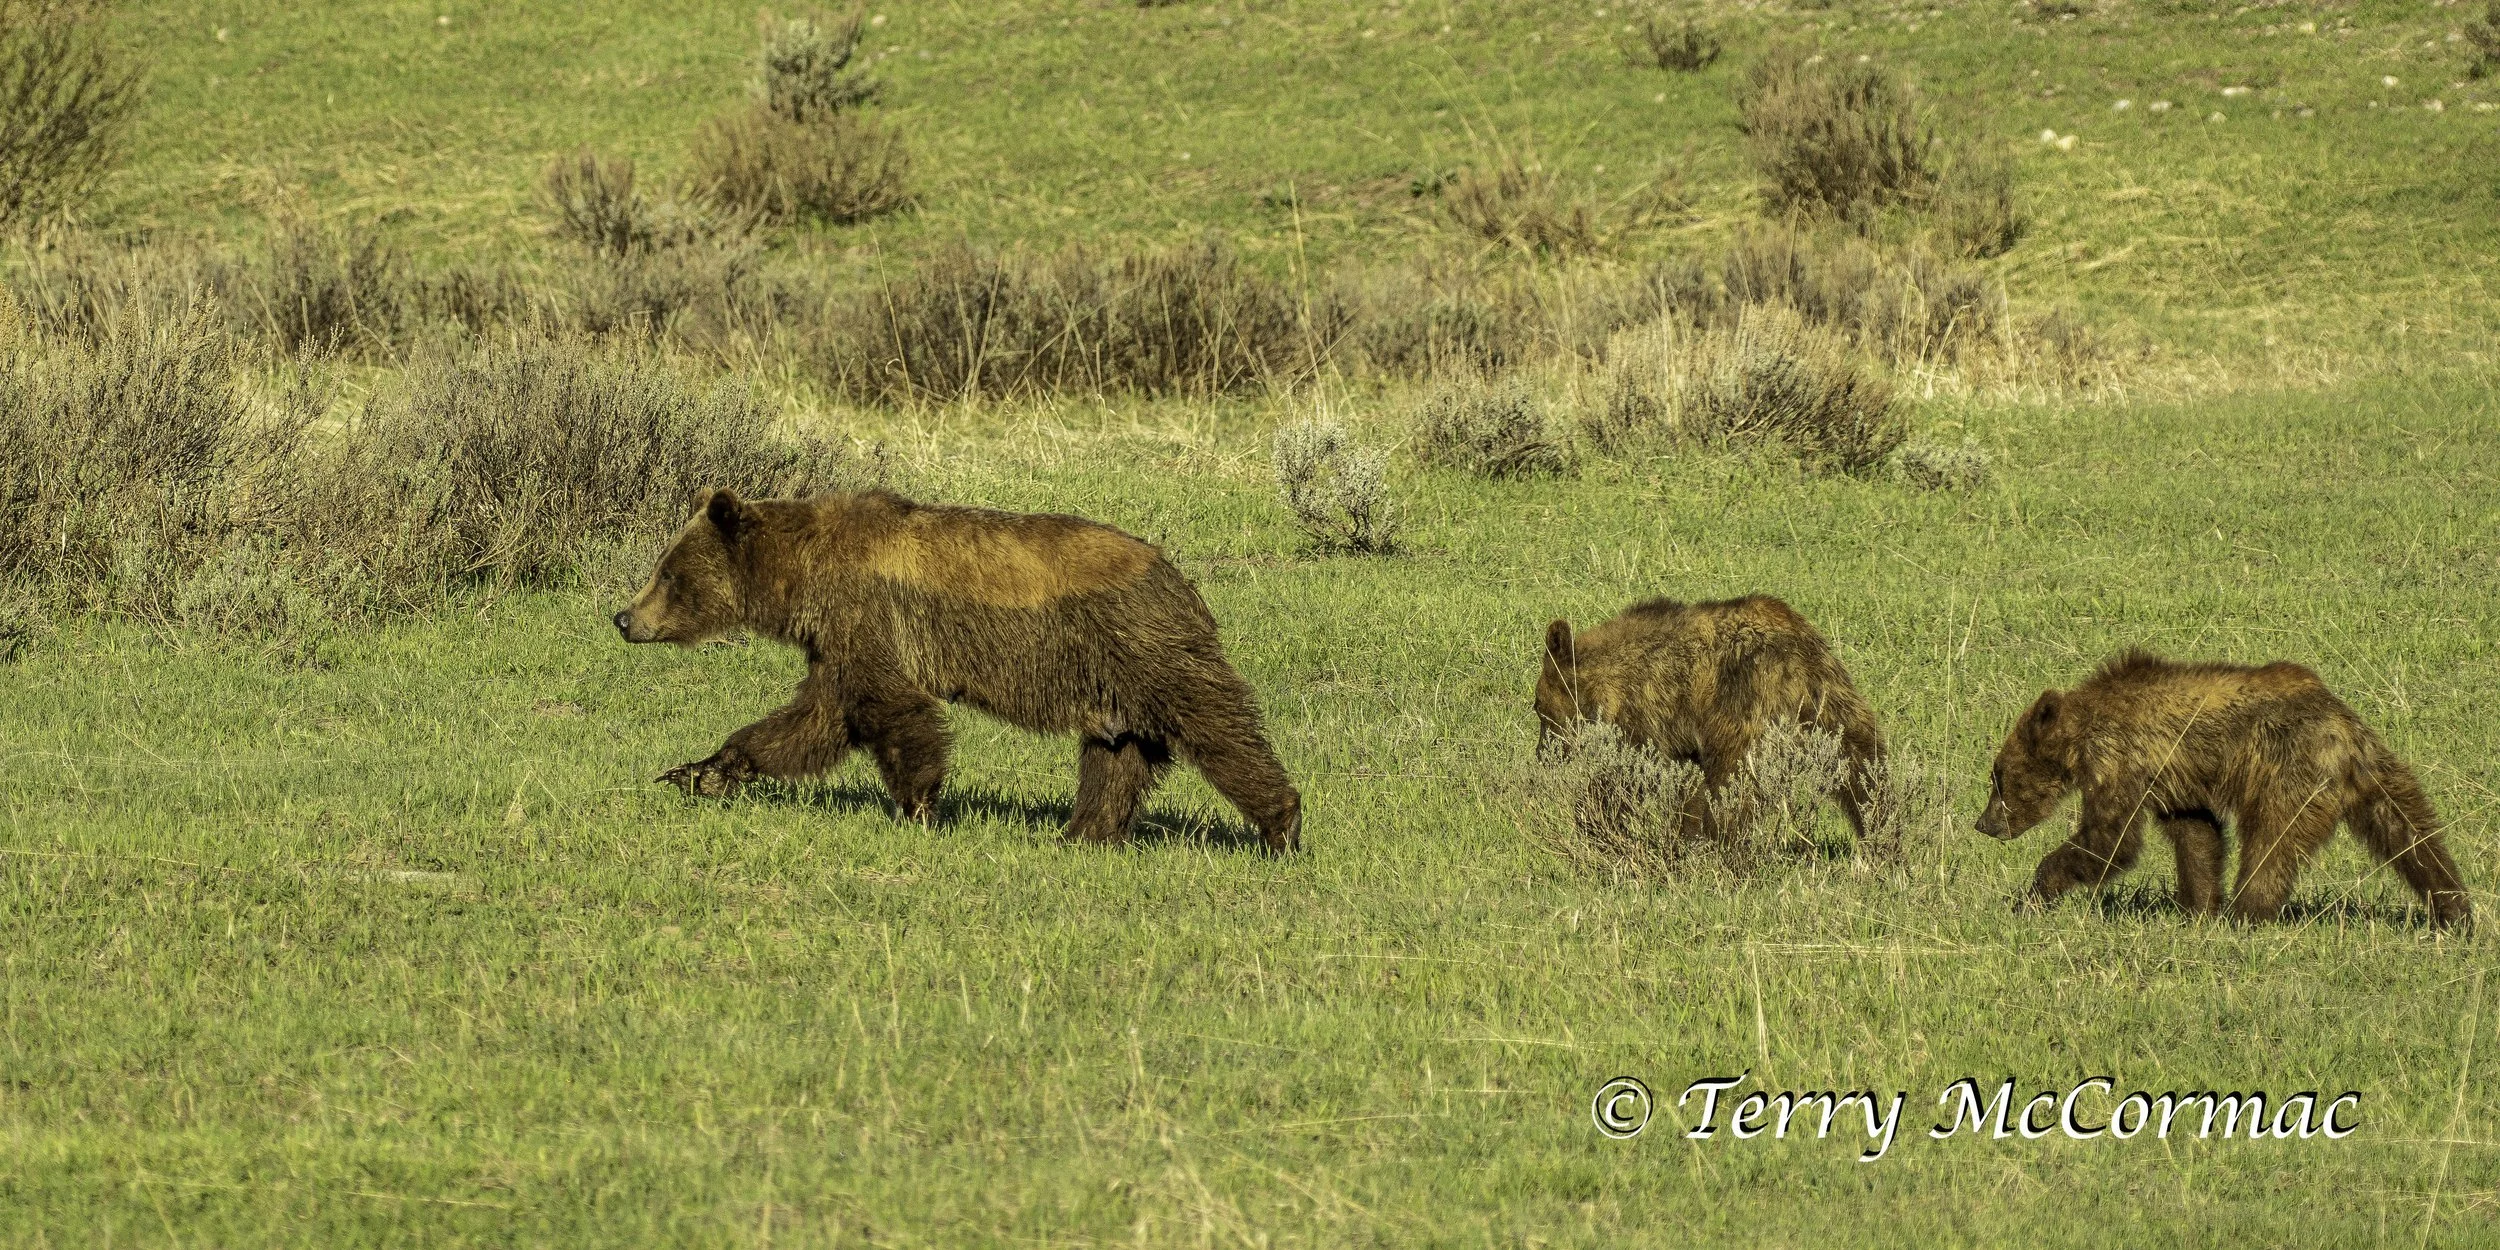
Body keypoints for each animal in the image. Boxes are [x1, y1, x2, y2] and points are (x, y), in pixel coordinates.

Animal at [614, 488, 1303, 852]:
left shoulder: (871, 618)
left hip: (1141, 644)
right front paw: (700, 771)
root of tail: (1180, 578)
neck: (805, 575)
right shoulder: (837, 641)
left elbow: (893, 710)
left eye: (667, 573)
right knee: (1117, 754)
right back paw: (1082, 834)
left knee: (1213, 722)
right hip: (1110, 681)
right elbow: (812, 721)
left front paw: (918, 807)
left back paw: (1281, 824)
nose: (624, 617)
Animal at [1535, 595, 1886, 842]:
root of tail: (1792, 665)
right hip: (1835, 698)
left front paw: (1596, 821)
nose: (1542, 754)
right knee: (1866, 769)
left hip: (1742, 703)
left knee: (1729, 785)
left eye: (1539, 709)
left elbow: (1627, 774)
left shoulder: (1647, 711)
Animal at [1976, 649, 2470, 929]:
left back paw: (2246, 915)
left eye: (1997, 778)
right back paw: (2455, 912)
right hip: (2379, 775)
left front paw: (2030, 899)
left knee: (2271, 846)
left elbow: (2109, 841)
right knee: (2413, 834)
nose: (1983, 824)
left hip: (2286, 774)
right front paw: (2198, 908)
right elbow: (2197, 835)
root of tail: (2342, 729)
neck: (2081, 739)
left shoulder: (2120, 762)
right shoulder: (2172, 781)